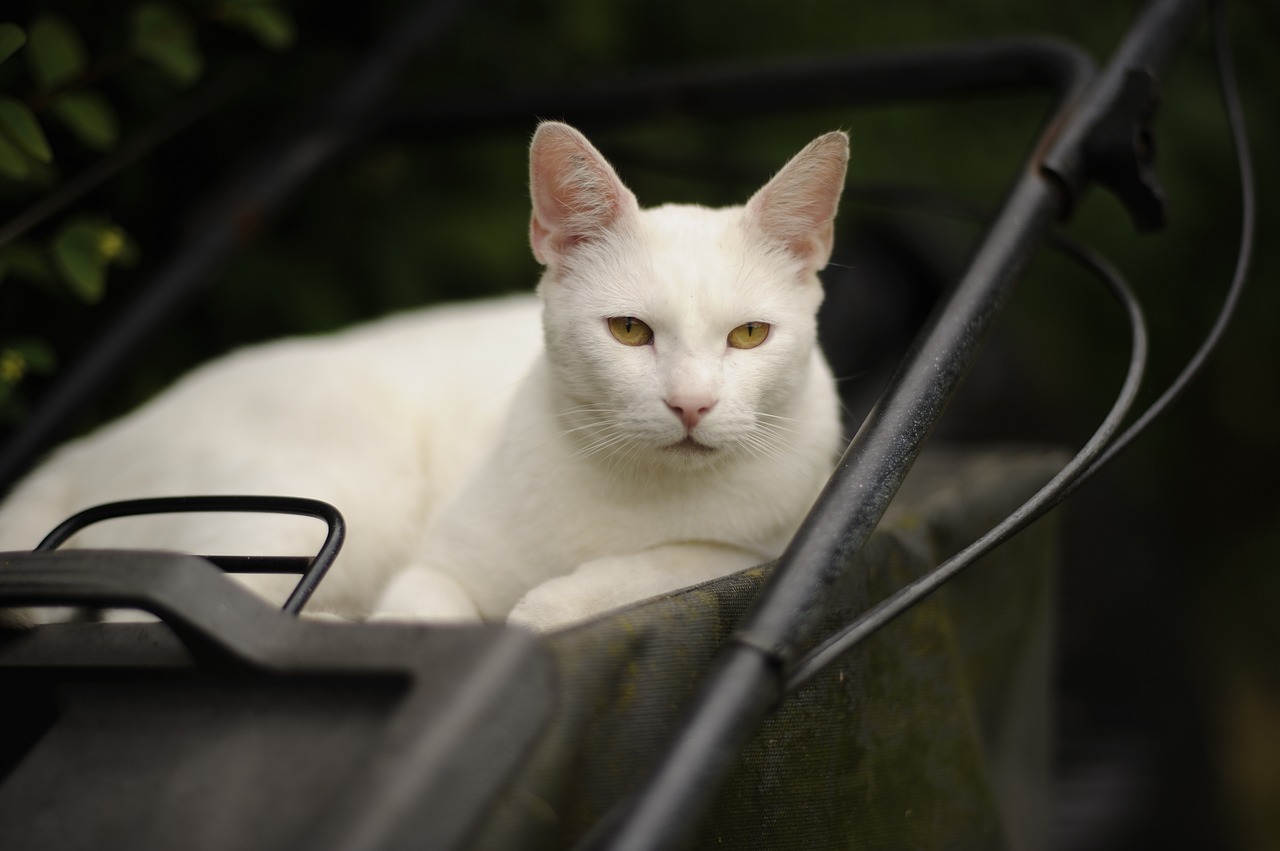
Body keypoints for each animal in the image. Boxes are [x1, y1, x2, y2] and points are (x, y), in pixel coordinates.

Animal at [0, 124, 849, 629]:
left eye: (749, 335)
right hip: (342, 494)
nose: (691, 404)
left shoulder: (786, 526)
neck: (640, 494)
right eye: (630, 331)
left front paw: (555, 602)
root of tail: (87, 448)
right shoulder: (430, 571)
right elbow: (426, 627)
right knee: (149, 608)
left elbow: (697, 559)